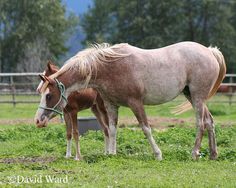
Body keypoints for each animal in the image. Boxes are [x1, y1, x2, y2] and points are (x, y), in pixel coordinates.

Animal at [34, 42, 226, 160]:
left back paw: (194, 153)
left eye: (49, 95)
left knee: (200, 123)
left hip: (197, 97)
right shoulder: (111, 105)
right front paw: (111, 154)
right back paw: (213, 154)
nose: (38, 120)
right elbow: (111, 130)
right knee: (209, 121)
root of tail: (209, 51)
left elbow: (146, 129)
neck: (109, 67)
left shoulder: (136, 103)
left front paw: (158, 154)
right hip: (192, 96)